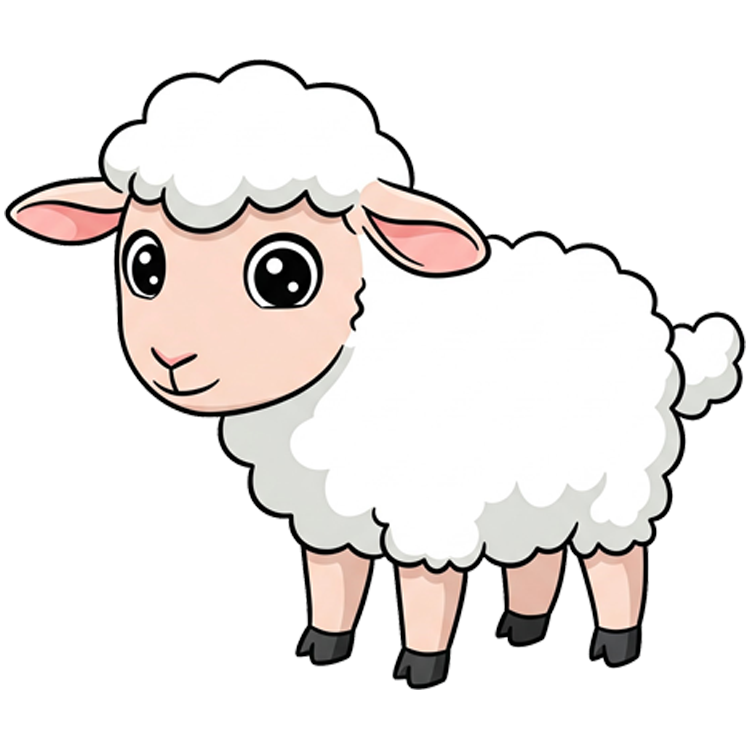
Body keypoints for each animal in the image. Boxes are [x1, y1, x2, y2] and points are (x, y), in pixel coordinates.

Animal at [6, 61, 744, 688]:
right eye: (145, 265)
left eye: (284, 276)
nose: (170, 359)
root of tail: (662, 335)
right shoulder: (328, 504)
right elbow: (333, 579)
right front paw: (322, 649)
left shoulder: (429, 502)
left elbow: (425, 592)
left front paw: (420, 667)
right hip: (532, 481)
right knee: (535, 555)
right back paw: (522, 630)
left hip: (618, 484)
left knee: (618, 562)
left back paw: (614, 647)